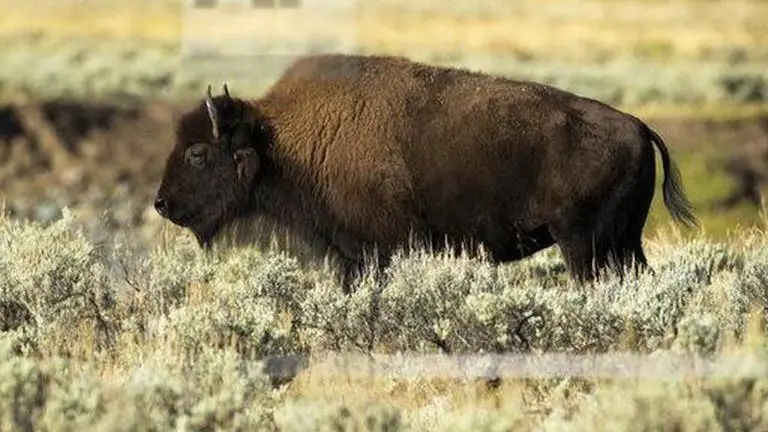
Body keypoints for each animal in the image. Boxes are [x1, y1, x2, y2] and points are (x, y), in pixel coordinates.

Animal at [154, 53, 697, 292]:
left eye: (198, 153)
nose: (161, 203)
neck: (281, 140)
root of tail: (637, 125)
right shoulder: (351, 256)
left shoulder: (377, 250)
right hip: (623, 243)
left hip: (583, 242)